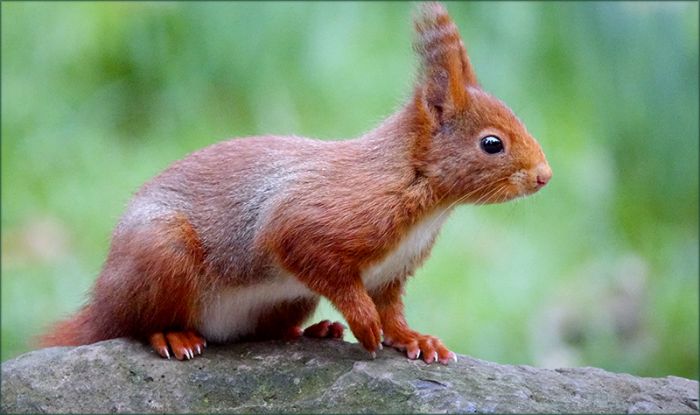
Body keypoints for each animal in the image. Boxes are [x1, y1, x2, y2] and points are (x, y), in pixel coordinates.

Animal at [40, 2, 551, 364]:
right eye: (492, 143)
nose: (544, 176)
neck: (423, 199)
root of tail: (101, 299)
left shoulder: (392, 272)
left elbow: (391, 309)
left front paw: (414, 339)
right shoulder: (319, 217)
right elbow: (308, 252)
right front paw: (363, 322)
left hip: (287, 300)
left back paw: (313, 332)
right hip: (160, 256)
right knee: (131, 324)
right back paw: (170, 334)